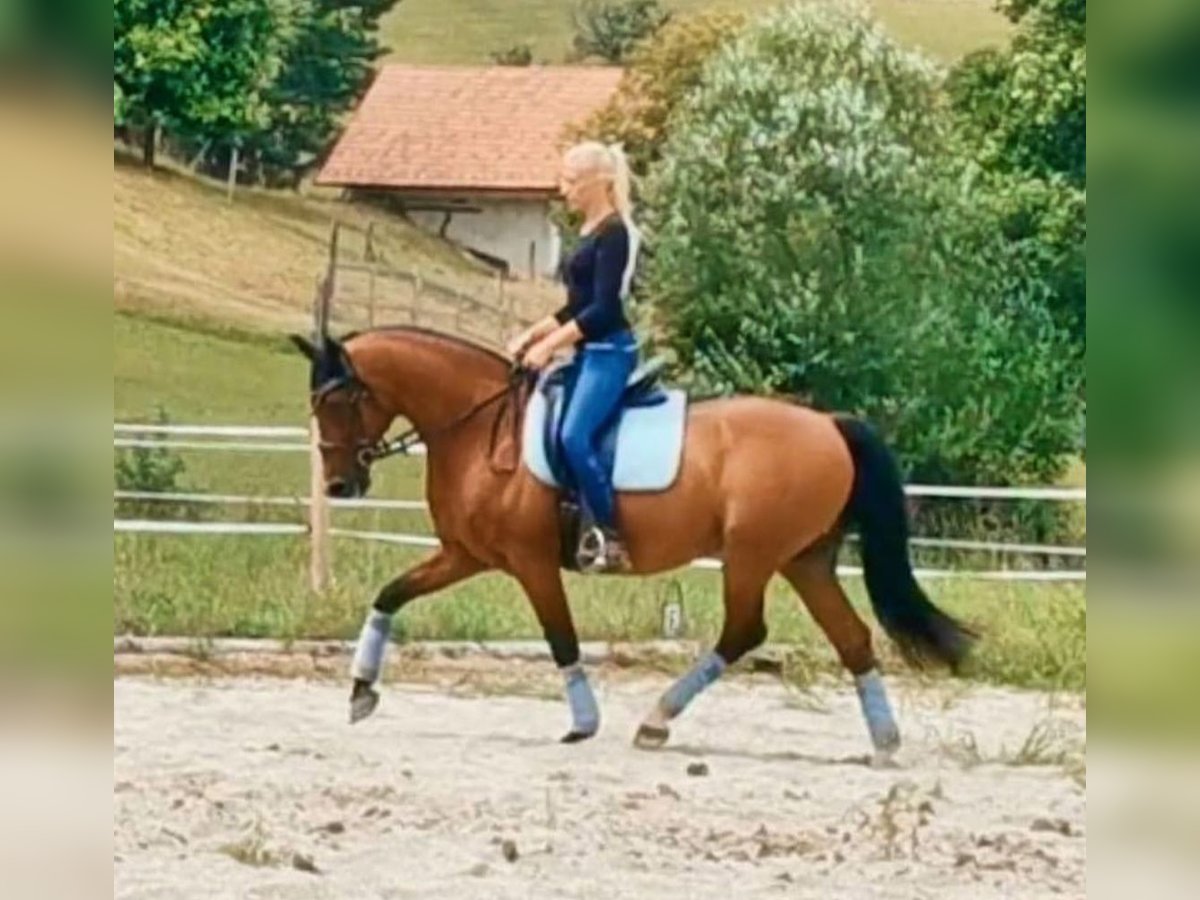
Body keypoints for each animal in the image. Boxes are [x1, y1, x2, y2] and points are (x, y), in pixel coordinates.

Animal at [290, 324, 974, 763]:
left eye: (340, 400)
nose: (342, 484)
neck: (480, 427)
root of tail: (829, 425)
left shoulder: (529, 563)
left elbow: (560, 637)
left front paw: (583, 723)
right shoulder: (468, 555)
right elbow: (390, 595)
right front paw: (361, 692)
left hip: (753, 556)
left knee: (745, 631)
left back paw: (655, 721)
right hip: (804, 560)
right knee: (851, 637)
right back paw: (884, 742)